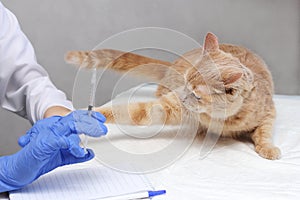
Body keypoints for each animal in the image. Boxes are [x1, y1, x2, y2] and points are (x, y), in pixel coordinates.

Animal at [65, 33, 282, 161]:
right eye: (185, 83)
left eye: (196, 95)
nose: (183, 98)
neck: (224, 121)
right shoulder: (166, 107)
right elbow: (129, 111)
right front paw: (80, 117)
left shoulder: (269, 112)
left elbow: (263, 132)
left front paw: (268, 148)